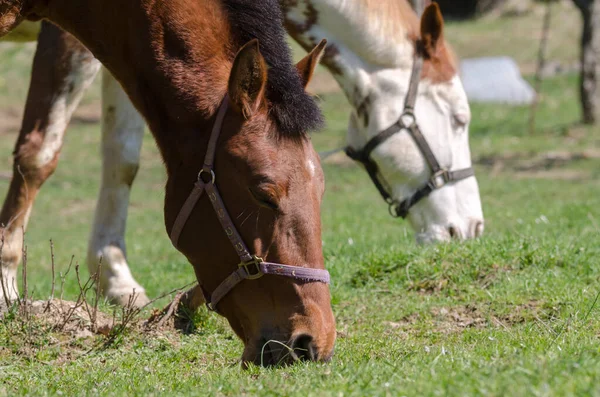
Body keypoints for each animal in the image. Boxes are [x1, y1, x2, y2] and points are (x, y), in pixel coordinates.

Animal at [0, 0, 486, 304]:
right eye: (459, 118)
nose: (470, 228)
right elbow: (38, 155)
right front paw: (6, 287)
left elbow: (122, 158)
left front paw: (115, 276)